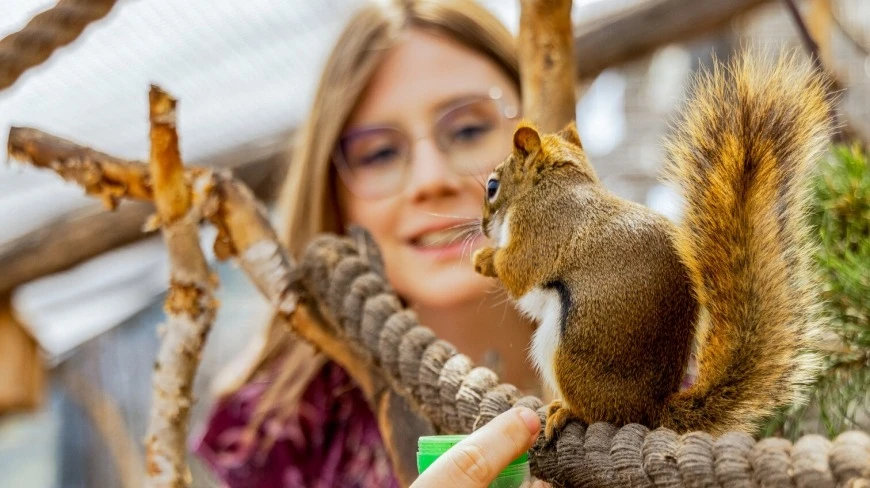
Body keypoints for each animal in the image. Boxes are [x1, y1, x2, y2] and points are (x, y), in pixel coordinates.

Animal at [474, 49, 836, 436]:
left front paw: (483, 258)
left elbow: (517, 270)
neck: (557, 181)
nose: (482, 225)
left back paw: (566, 410)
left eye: (492, 186)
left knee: (595, 411)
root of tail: (650, 410)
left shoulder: (541, 227)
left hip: (567, 351)